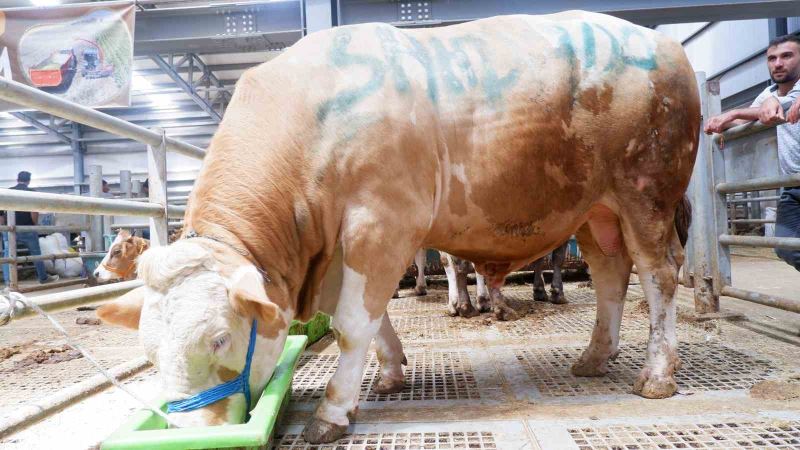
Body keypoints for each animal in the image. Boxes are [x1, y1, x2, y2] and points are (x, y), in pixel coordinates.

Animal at [97, 11, 699, 444]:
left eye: (219, 337)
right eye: (149, 350)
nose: (189, 433)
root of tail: (663, 43)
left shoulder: (381, 222)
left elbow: (350, 324)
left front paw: (334, 409)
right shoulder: (345, 243)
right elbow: (372, 315)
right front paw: (389, 371)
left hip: (646, 194)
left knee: (659, 275)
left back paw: (657, 374)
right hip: (596, 212)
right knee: (611, 275)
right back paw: (595, 357)